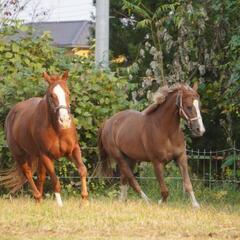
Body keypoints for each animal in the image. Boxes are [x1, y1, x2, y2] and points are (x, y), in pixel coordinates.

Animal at [0, 71, 88, 206]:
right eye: (51, 95)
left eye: (68, 93)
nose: (64, 121)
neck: (58, 130)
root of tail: (12, 113)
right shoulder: (46, 156)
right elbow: (55, 181)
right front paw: (60, 206)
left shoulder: (73, 150)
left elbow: (82, 170)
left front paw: (84, 200)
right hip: (20, 155)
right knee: (28, 173)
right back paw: (37, 197)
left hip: (37, 157)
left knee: (40, 177)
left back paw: (39, 202)